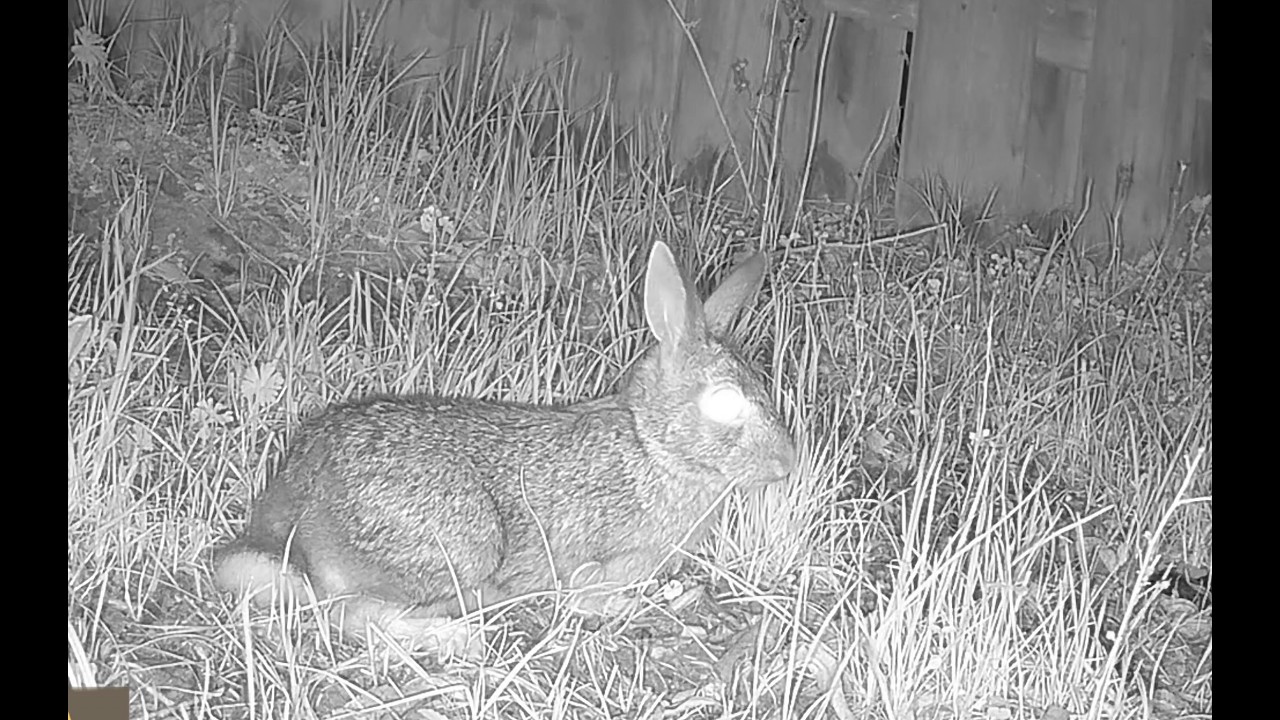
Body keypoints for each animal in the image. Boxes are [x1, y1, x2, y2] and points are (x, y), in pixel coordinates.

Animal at [215, 241, 796, 651]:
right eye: (726, 401)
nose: (787, 463)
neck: (651, 445)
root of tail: (290, 506)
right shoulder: (595, 559)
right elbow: (586, 593)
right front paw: (629, 607)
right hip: (464, 541)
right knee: (347, 614)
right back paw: (454, 637)